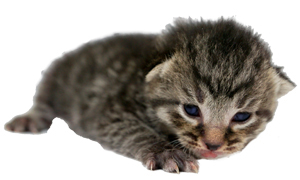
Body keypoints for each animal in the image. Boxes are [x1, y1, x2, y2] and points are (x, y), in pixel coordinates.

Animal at [4, 17, 296, 173]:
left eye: (242, 116)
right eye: (191, 110)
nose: (212, 146)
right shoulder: (107, 111)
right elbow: (134, 131)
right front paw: (167, 153)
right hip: (57, 76)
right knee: (42, 100)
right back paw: (31, 118)